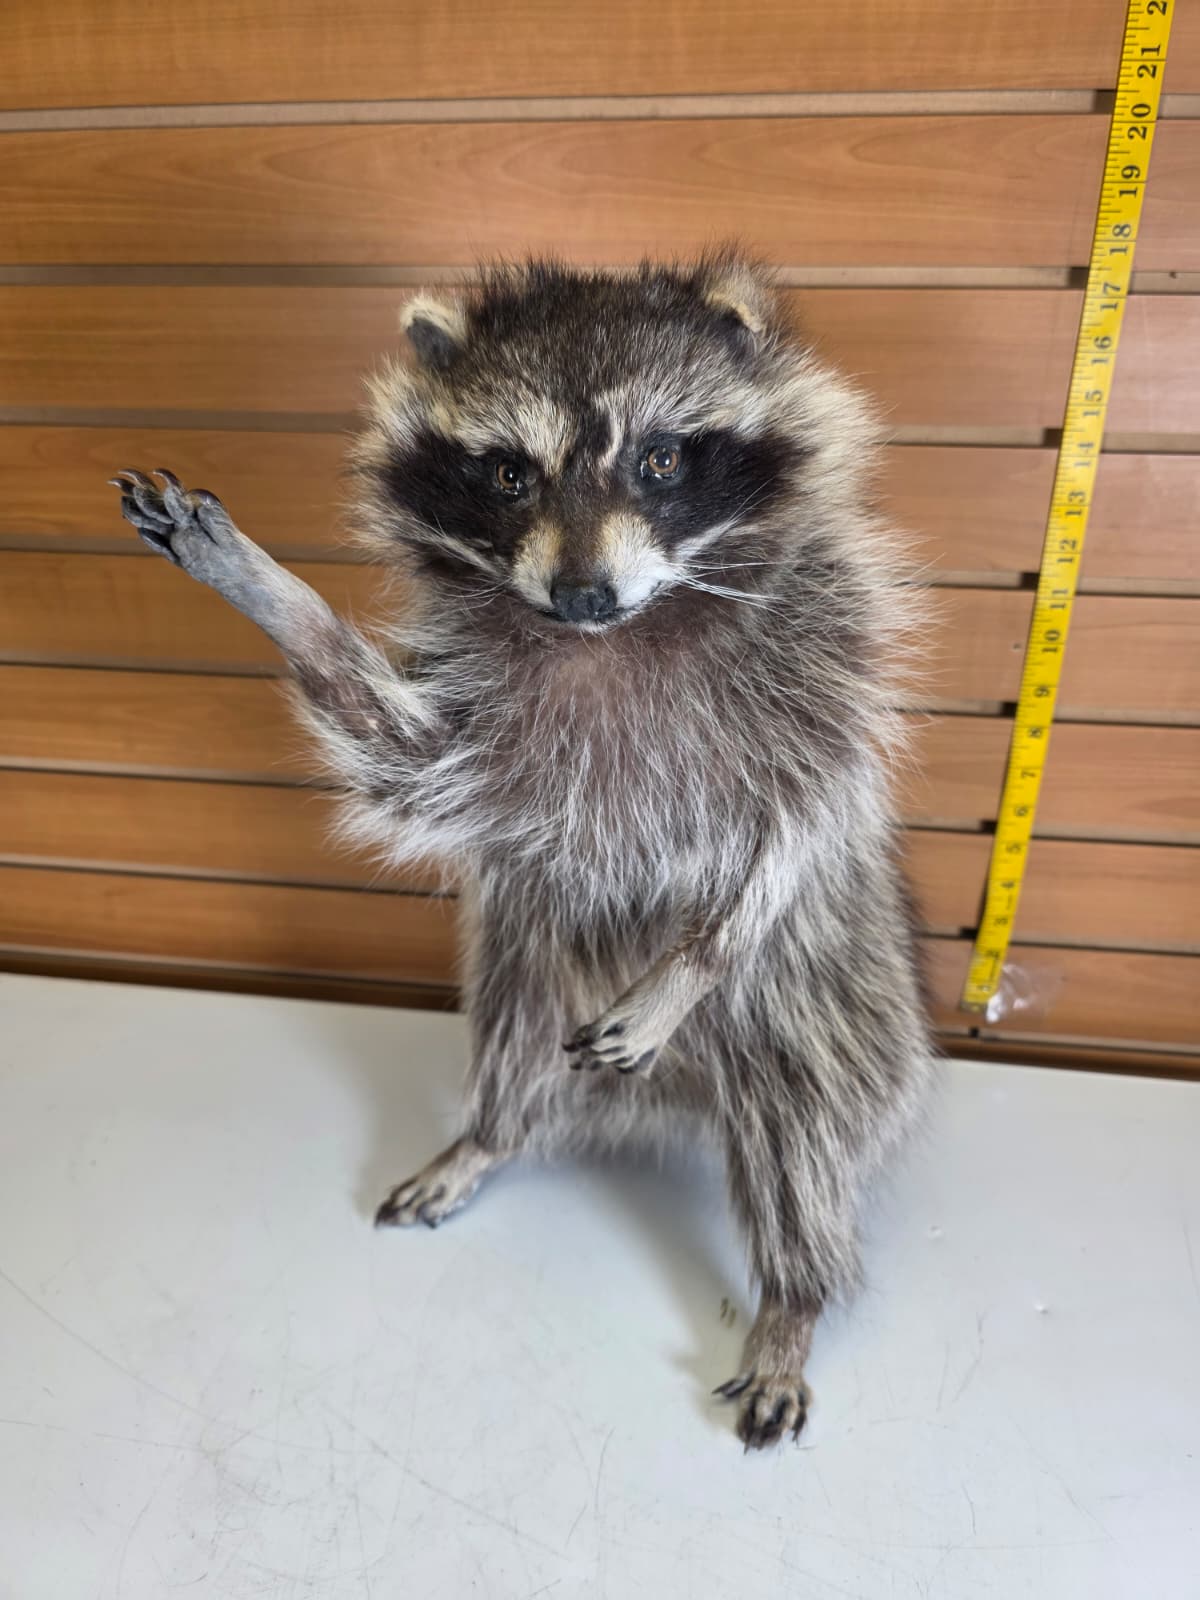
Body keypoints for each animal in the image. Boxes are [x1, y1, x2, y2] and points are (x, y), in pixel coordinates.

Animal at [111, 251, 934, 1450]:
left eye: (660, 457)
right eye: (507, 473)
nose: (583, 591)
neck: (616, 632)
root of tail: (683, 1096)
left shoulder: (828, 648)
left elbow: (800, 816)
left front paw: (696, 958)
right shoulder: (478, 731)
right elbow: (400, 749)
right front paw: (274, 593)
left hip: (827, 1011)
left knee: (805, 1141)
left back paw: (792, 1297)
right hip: (529, 969)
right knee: (512, 1050)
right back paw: (487, 1136)